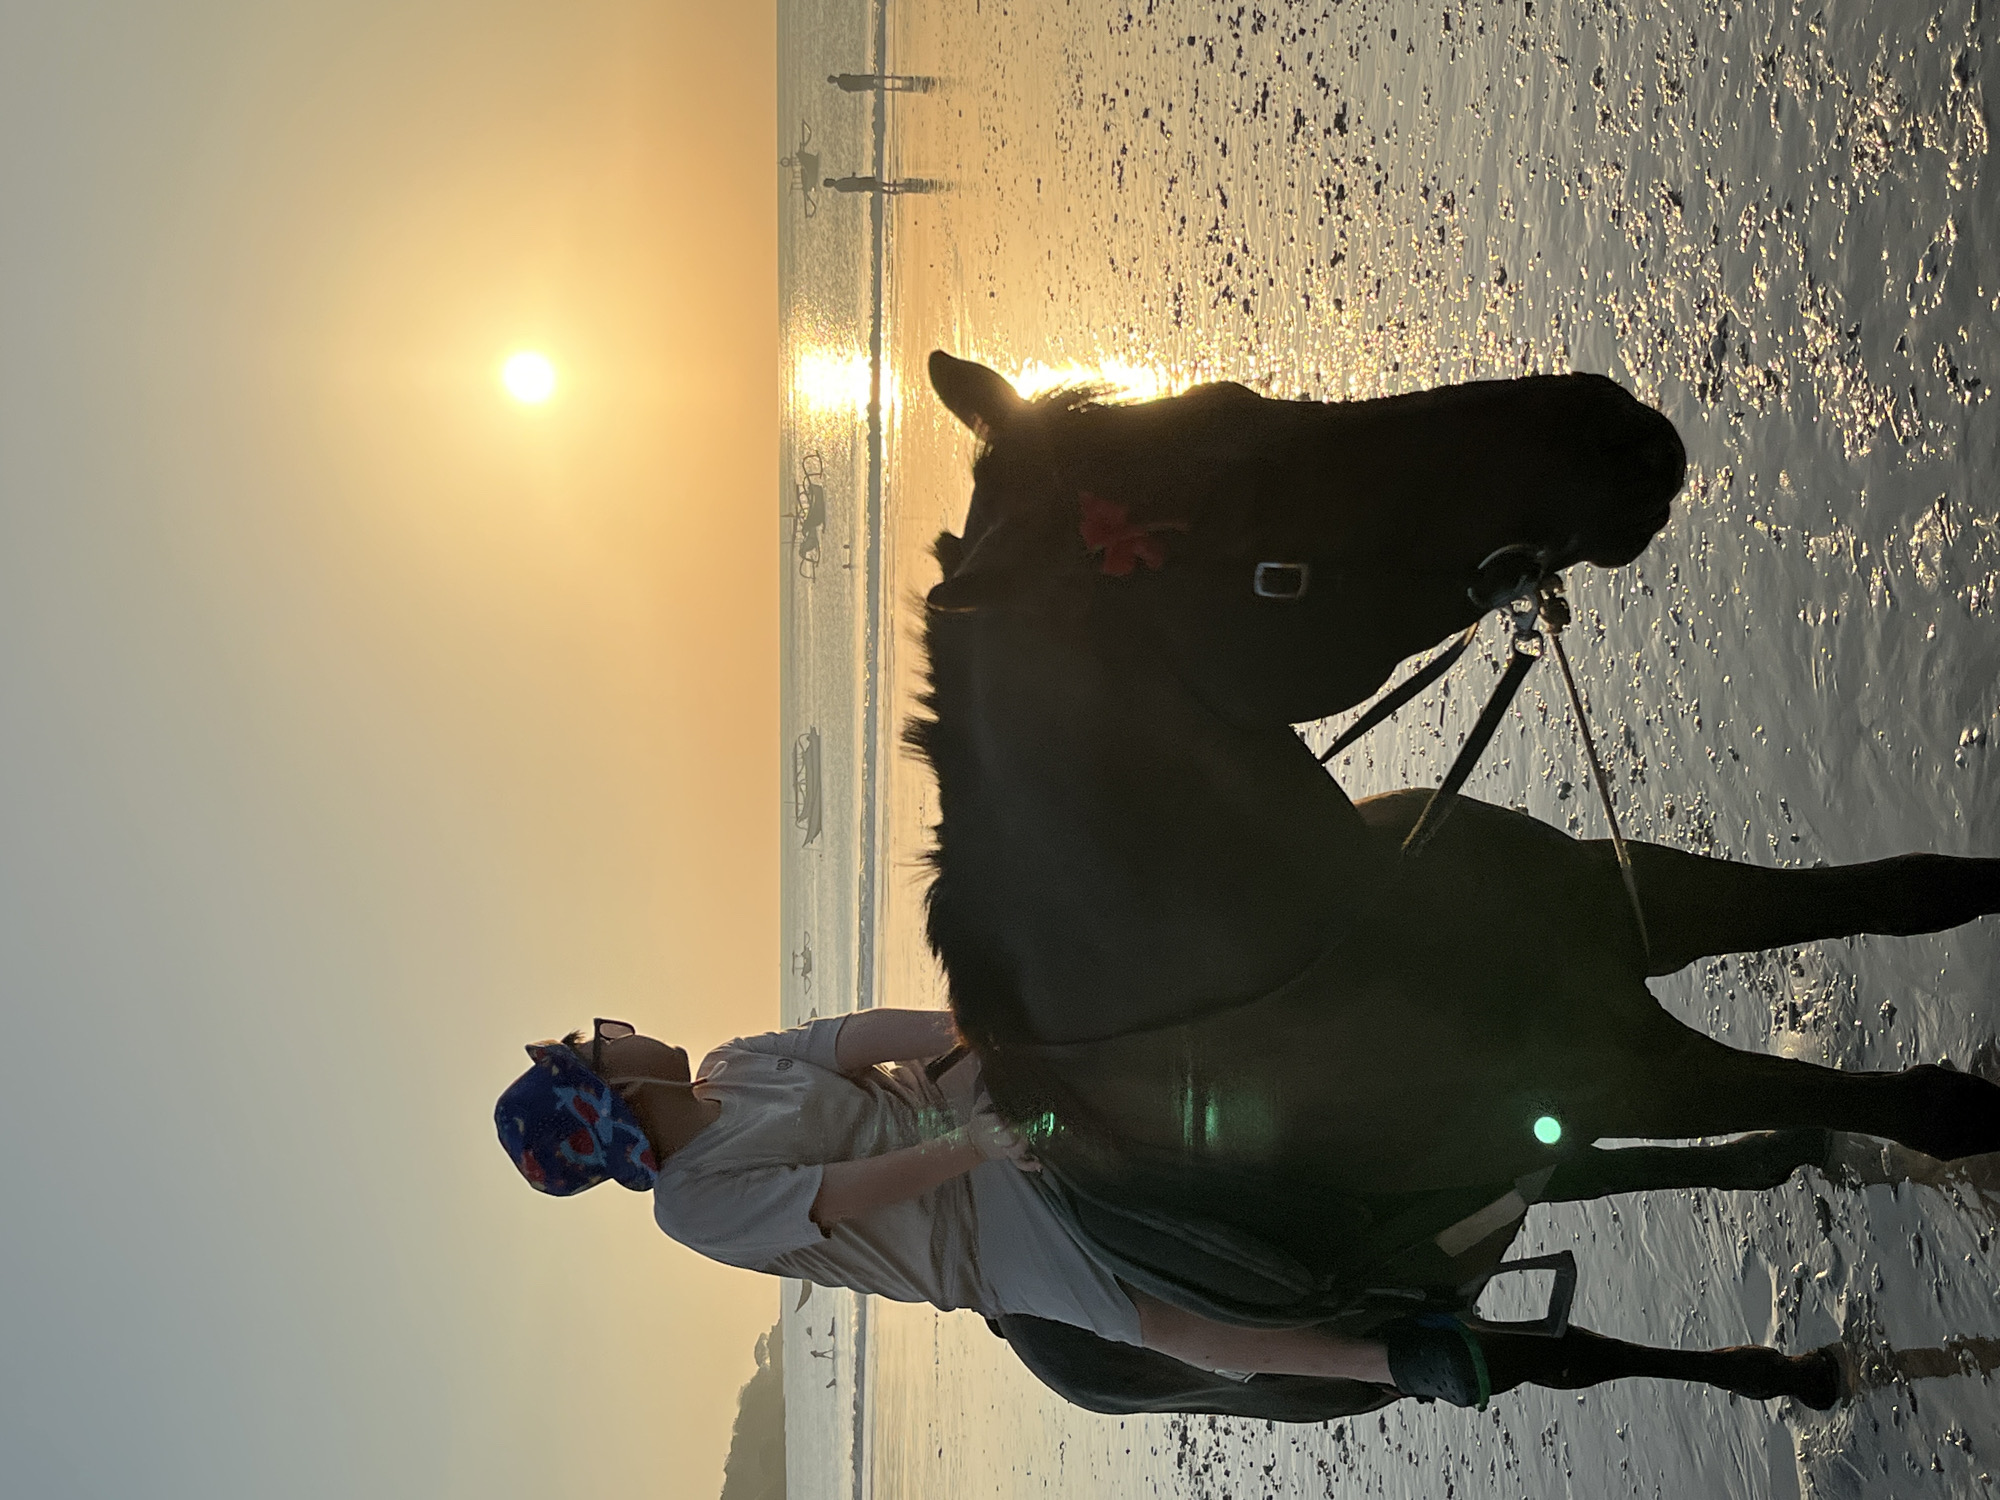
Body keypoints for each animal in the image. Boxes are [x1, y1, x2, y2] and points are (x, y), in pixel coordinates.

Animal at [908, 350, 2000, 1416]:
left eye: (1241, 404)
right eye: (1235, 495)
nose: (1608, 424)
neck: (1344, 936)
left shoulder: (1630, 913)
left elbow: (1921, 891)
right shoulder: (1627, 1066)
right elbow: (1936, 1109)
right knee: (1568, 1355)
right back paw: (1791, 1371)